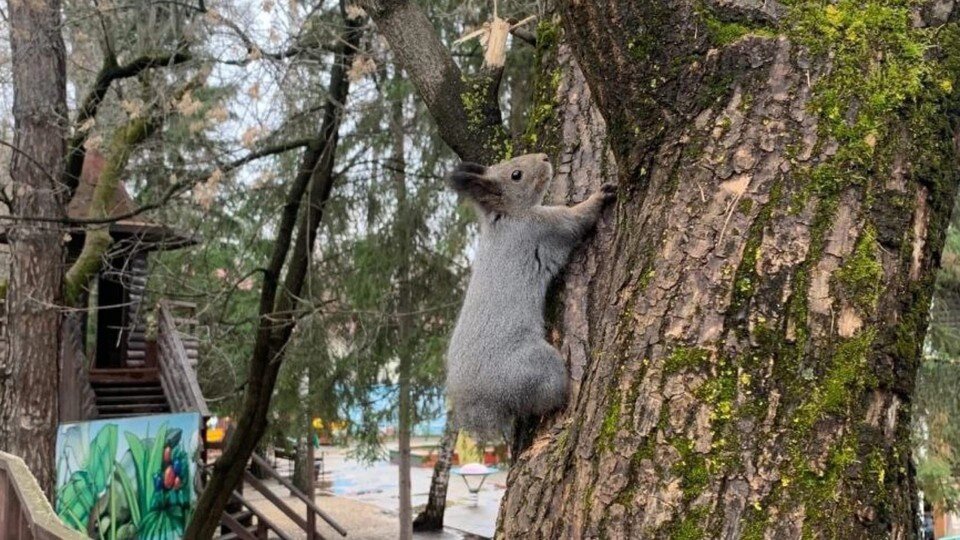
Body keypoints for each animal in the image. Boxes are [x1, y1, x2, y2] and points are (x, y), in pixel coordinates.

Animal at [444, 151, 616, 438]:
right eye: (516, 175)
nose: (545, 157)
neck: (507, 217)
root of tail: (478, 403)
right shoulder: (547, 226)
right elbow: (578, 219)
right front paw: (600, 196)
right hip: (535, 367)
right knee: (548, 396)